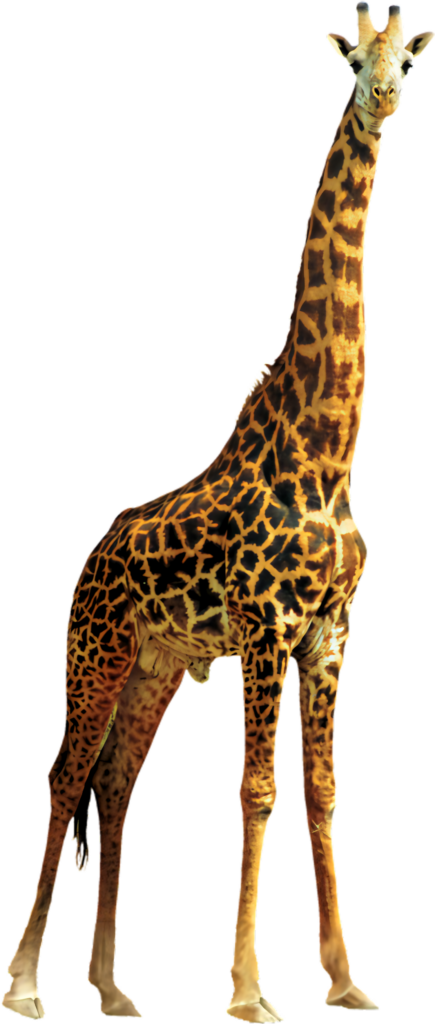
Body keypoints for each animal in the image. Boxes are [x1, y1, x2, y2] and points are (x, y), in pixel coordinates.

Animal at [2, 3, 433, 1020]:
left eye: (407, 62)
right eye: (352, 61)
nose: (382, 97)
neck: (322, 453)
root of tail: (91, 554)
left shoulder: (329, 634)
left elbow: (320, 793)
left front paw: (344, 980)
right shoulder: (266, 626)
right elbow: (256, 791)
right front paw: (247, 990)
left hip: (158, 663)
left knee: (117, 788)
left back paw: (112, 990)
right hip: (96, 651)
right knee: (64, 776)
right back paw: (24, 984)